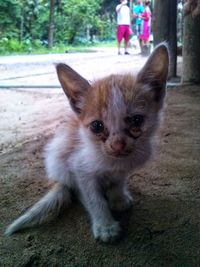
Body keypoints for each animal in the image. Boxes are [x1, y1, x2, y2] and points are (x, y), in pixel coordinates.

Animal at [4, 43, 169, 243]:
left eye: (136, 121)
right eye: (97, 126)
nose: (118, 145)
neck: (113, 162)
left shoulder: (123, 168)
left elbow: (118, 181)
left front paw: (118, 197)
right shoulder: (79, 167)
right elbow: (93, 198)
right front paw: (105, 225)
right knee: (77, 190)